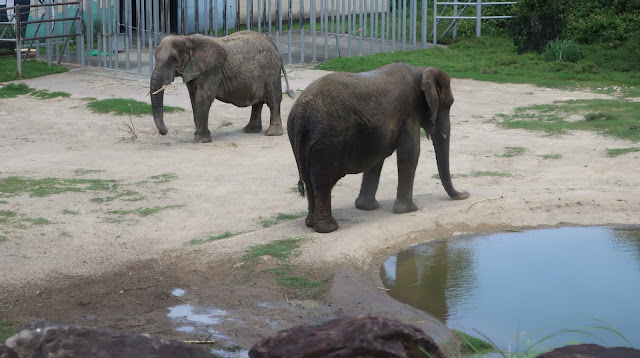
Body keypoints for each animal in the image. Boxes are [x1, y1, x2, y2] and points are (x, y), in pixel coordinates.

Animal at [150, 30, 296, 143]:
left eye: (173, 59)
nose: (165, 131)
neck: (187, 39)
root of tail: (273, 45)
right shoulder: (193, 71)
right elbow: (193, 99)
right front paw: (198, 136)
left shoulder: (211, 72)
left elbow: (202, 98)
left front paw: (200, 141)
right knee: (258, 102)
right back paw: (250, 130)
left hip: (271, 71)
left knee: (273, 100)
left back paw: (272, 133)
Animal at [290, 63, 470, 234]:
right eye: (448, 105)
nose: (466, 194)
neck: (421, 70)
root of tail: (302, 114)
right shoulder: (409, 113)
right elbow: (410, 153)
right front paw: (408, 211)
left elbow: (376, 161)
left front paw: (367, 208)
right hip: (327, 139)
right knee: (322, 181)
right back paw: (328, 229)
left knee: (309, 181)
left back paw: (310, 224)